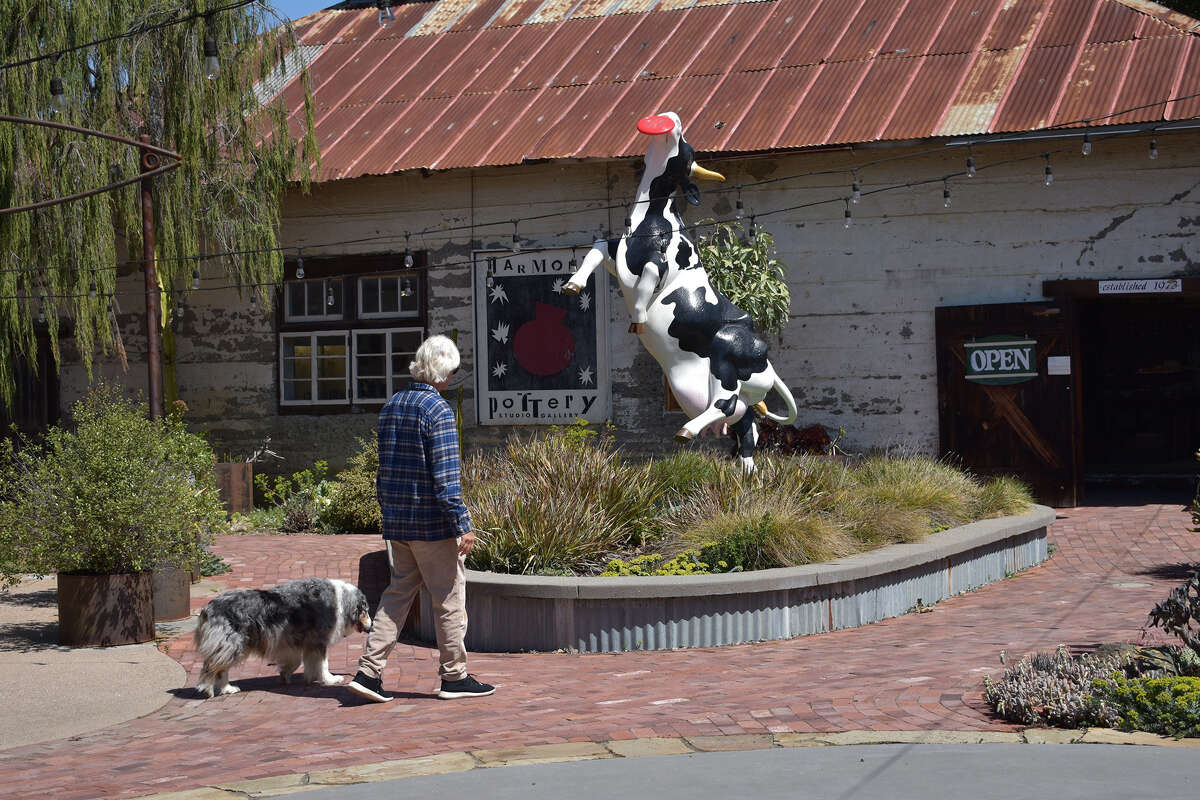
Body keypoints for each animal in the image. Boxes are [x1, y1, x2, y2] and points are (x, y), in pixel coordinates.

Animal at [194, 578, 369, 695]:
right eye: (366, 611)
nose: (370, 626)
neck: (342, 601)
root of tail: (207, 608)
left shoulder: (299, 642)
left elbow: (300, 661)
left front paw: (291, 676)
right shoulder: (319, 640)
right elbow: (323, 664)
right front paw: (330, 680)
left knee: (220, 668)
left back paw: (227, 689)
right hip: (231, 644)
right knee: (214, 668)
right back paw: (211, 689)